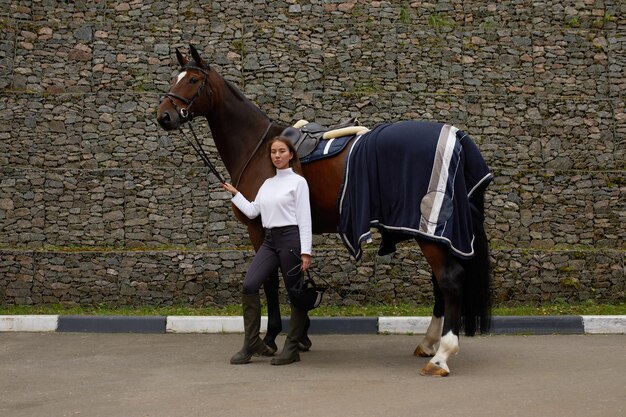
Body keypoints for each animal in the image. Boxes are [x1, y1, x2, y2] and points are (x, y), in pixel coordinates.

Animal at [156, 45, 492, 376]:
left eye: (193, 80)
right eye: (175, 77)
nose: (164, 116)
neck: (260, 149)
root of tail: (456, 138)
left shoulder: (260, 228)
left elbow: (270, 281)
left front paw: (270, 339)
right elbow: (293, 277)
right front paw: (301, 336)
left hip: (429, 231)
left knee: (449, 280)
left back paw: (442, 355)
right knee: (440, 283)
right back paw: (428, 343)